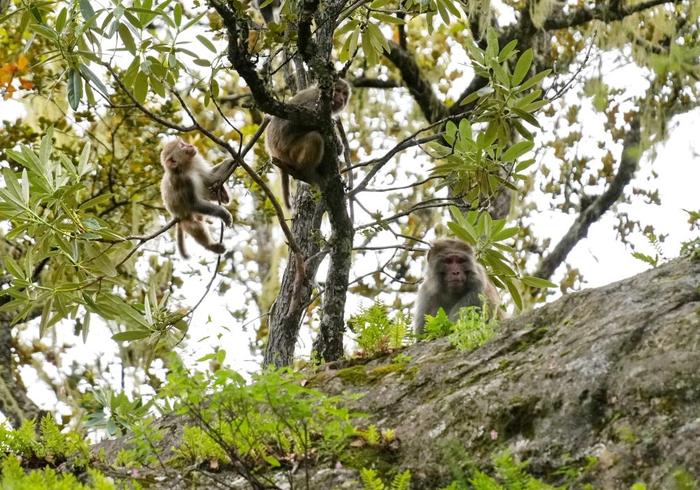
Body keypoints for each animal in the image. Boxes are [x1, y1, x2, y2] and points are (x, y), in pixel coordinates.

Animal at [262, 78, 350, 207]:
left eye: (344, 93)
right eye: (338, 90)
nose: (342, 99)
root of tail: (272, 152)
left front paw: (338, 144)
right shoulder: (315, 100)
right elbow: (296, 122)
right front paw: (333, 133)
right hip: (288, 153)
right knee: (315, 138)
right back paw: (305, 171)